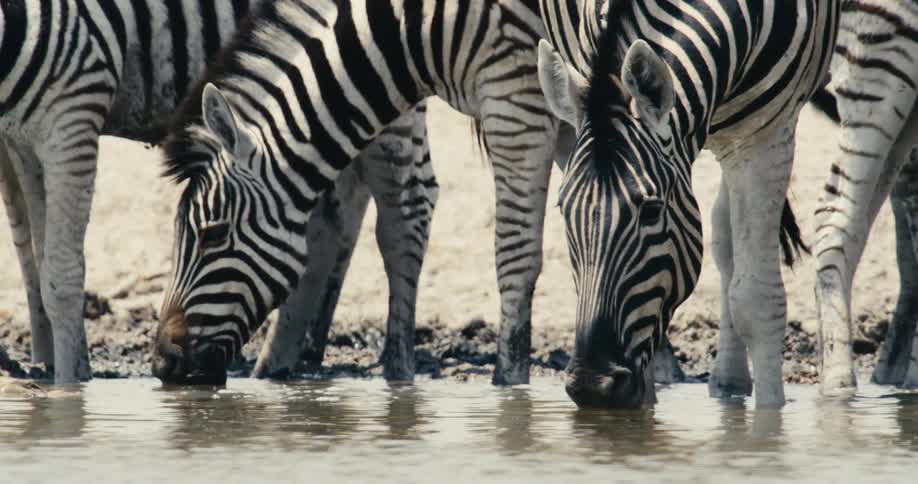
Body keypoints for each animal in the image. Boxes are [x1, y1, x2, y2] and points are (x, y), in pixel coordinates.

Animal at [0, 0, 432, 383]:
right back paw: (283, 360)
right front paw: (53, 363)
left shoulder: (73, 108)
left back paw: (397, 372)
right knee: (329, 215)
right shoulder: (23, 136)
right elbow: (33, 252)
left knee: (406, 215)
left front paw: (70, 387)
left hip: (380, 75)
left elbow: (62, 271)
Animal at [150, 0, 567, 386]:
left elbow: (516, 256)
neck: (414, 31)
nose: (161, 364)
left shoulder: (516, 100)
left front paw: (511, 388)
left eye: (213, 235)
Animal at [537, 0, 838, 407]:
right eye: (563, 212)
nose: (591, 386)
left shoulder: (766, 131)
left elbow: (756, 299)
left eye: (651, 211)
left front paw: (769, 418)